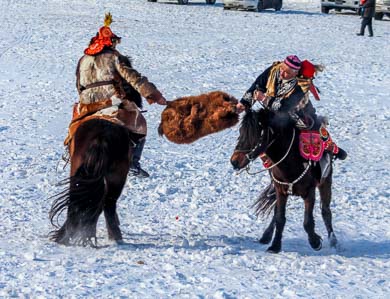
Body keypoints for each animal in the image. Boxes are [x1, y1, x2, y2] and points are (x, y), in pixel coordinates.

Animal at [230, 109, 336, 254]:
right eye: (241, 131)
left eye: (256, 134)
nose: (234, 161)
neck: (292, 162)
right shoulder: (280, 190)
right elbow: (280, 218)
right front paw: (275, 246)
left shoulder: (310, 192)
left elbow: (308, 222)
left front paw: (315, 242)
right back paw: (266, 236)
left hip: (326, 181)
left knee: (326, 211)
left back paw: (334, 241)